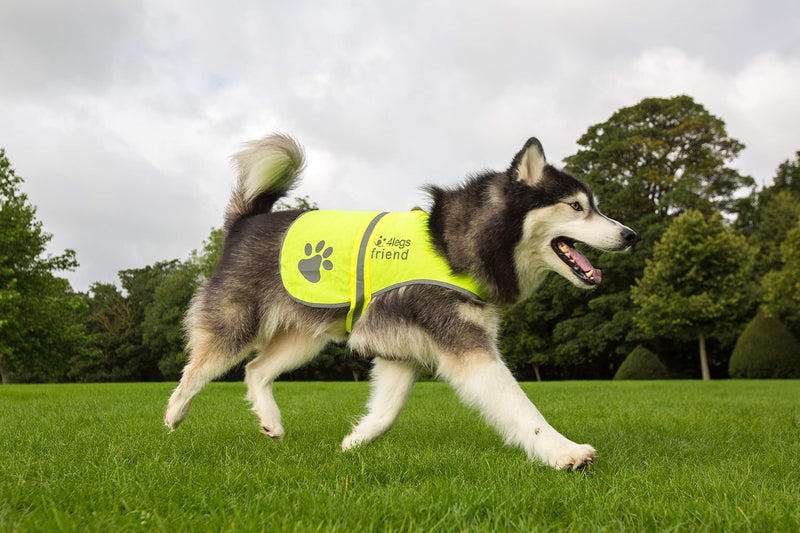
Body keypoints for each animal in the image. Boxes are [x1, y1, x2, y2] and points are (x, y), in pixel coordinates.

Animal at [164, 133, 636, 470]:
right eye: (576, 206)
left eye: (594, 206)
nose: (631, 234)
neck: (454, 244)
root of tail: (248, 220)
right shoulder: (465, 344)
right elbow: (521, 407)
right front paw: (564, 452)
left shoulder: (400, 349)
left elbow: (387, 410)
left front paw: (354, 441)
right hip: (234, 327)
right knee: (199, 369)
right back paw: (173, 414)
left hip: (305, 339)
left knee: (256, 370)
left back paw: (271, 422)